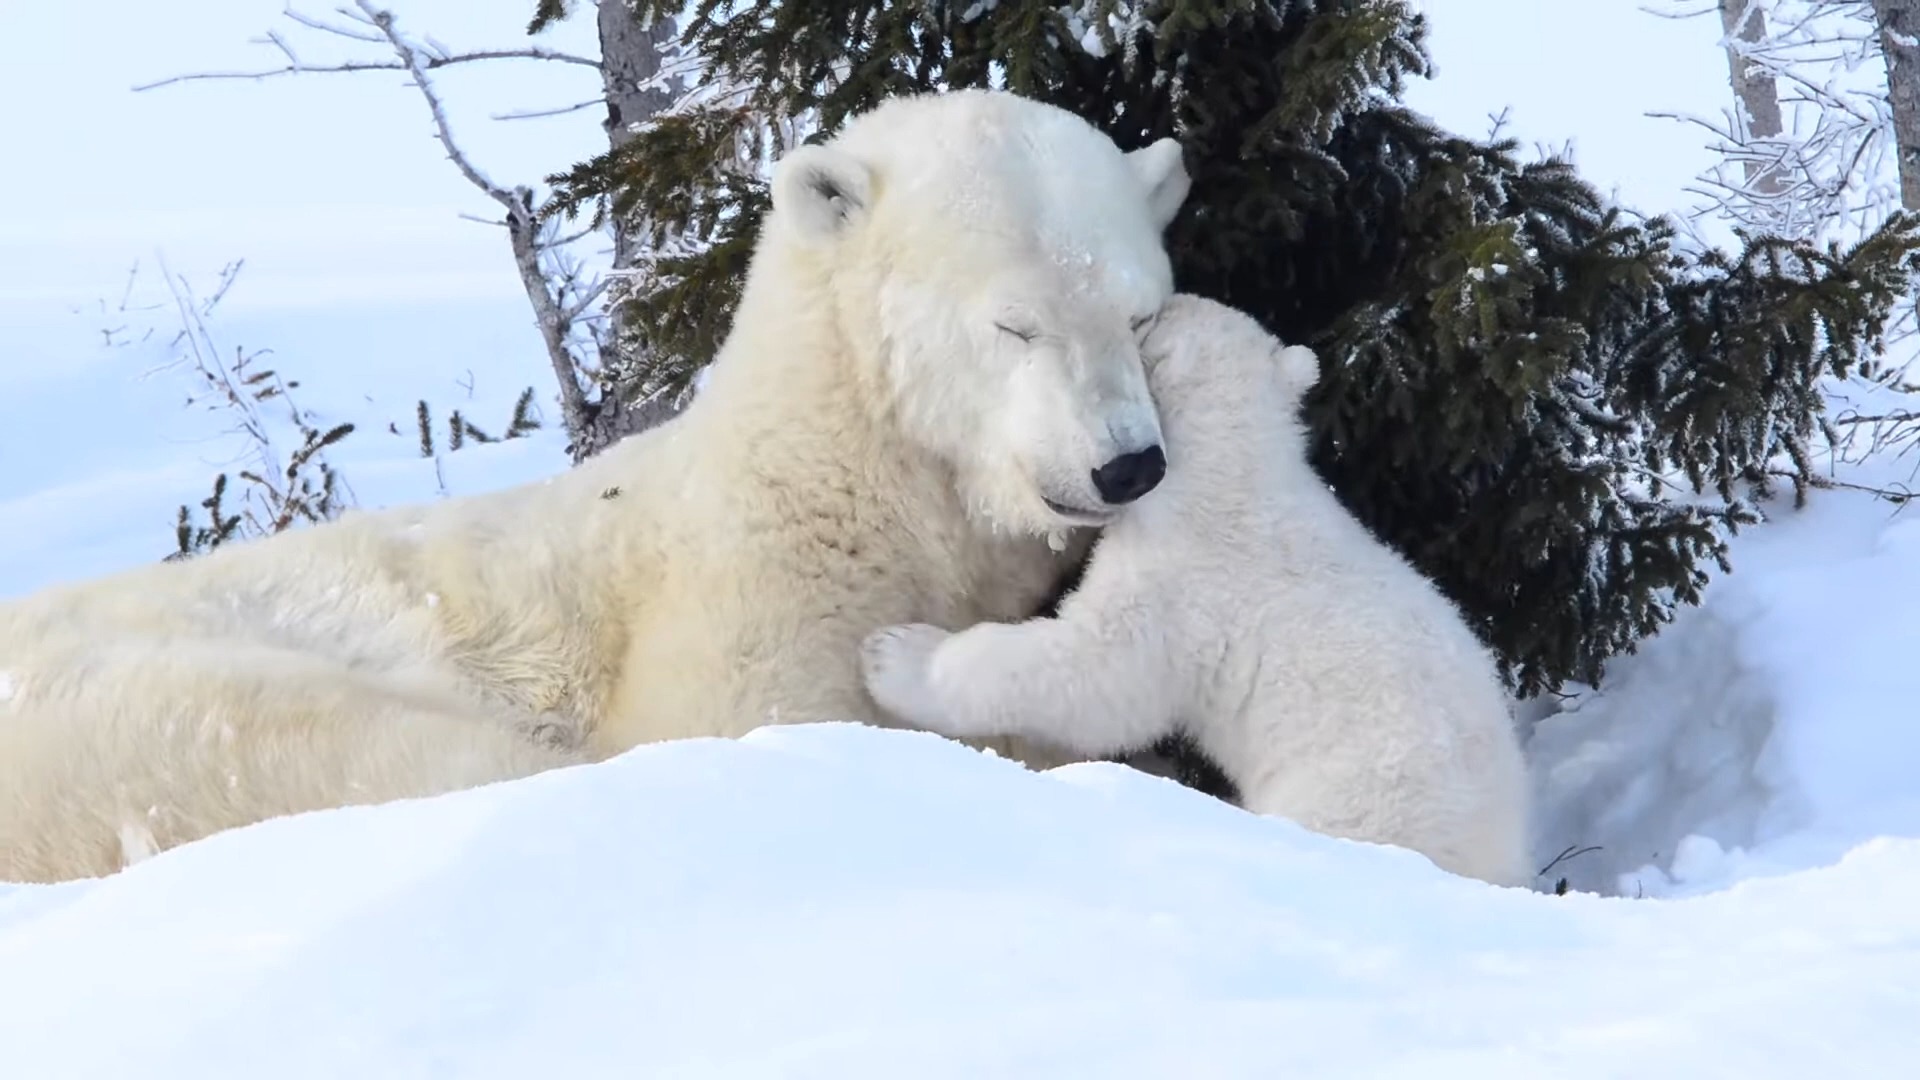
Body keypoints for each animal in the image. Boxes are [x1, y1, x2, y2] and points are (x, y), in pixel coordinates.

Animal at [0, 87, 1193, 884]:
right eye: (1014, 325)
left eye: (1139, 311)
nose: (1128, 463)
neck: (842, 483)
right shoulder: (746, 613)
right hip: (161, 725)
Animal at [858, 294, 1534, 888]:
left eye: (1148, 319)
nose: (1166, 295)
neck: (1235, 465)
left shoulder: (1181, 587)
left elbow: (1097, 674)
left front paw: (895, 656)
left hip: (1361, 798)